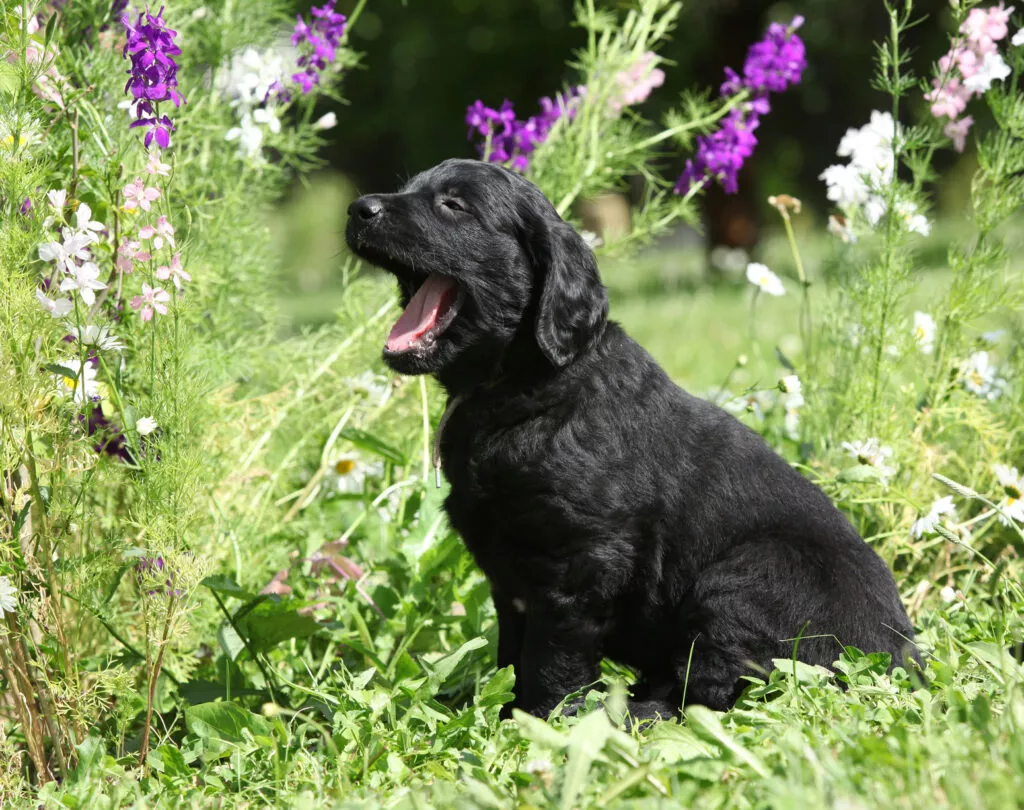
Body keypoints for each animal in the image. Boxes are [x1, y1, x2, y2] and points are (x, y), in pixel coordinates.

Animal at [346, 159, 921, 720]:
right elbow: (513, 652)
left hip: (752, 578)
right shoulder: (512, 579)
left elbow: (552, 658)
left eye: (454, 205)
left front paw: (545, 721)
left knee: (712, 693)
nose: (358, 209)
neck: (524, 387)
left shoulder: (583, 562)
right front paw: (500, 710)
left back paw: (631, 712)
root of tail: (903, 661)